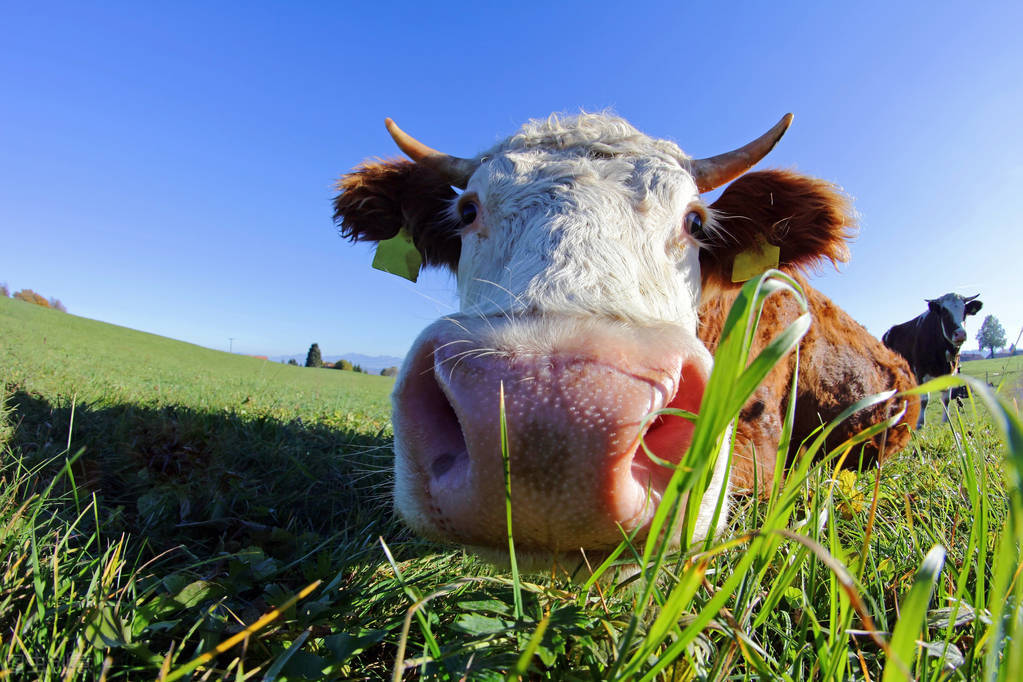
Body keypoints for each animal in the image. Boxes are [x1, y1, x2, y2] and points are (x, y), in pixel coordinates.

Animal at [883, 294, 977, 427]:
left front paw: (946, 421)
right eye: (944, 312)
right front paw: (920, 424)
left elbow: (946, 399)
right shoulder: (921, 372)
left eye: (965, 312)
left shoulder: (951, 373)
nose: (960, 334)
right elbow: (924, 399)